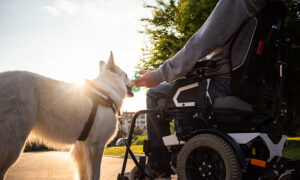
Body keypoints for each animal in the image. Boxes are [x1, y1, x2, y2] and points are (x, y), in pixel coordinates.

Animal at [0, 51, 134, 179]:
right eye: (126, 75)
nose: (133, 81)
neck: (107, 92)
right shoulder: (96, 145)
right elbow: (95, 174)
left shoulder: (80, 148)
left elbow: (83, 175)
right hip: (13, 144)